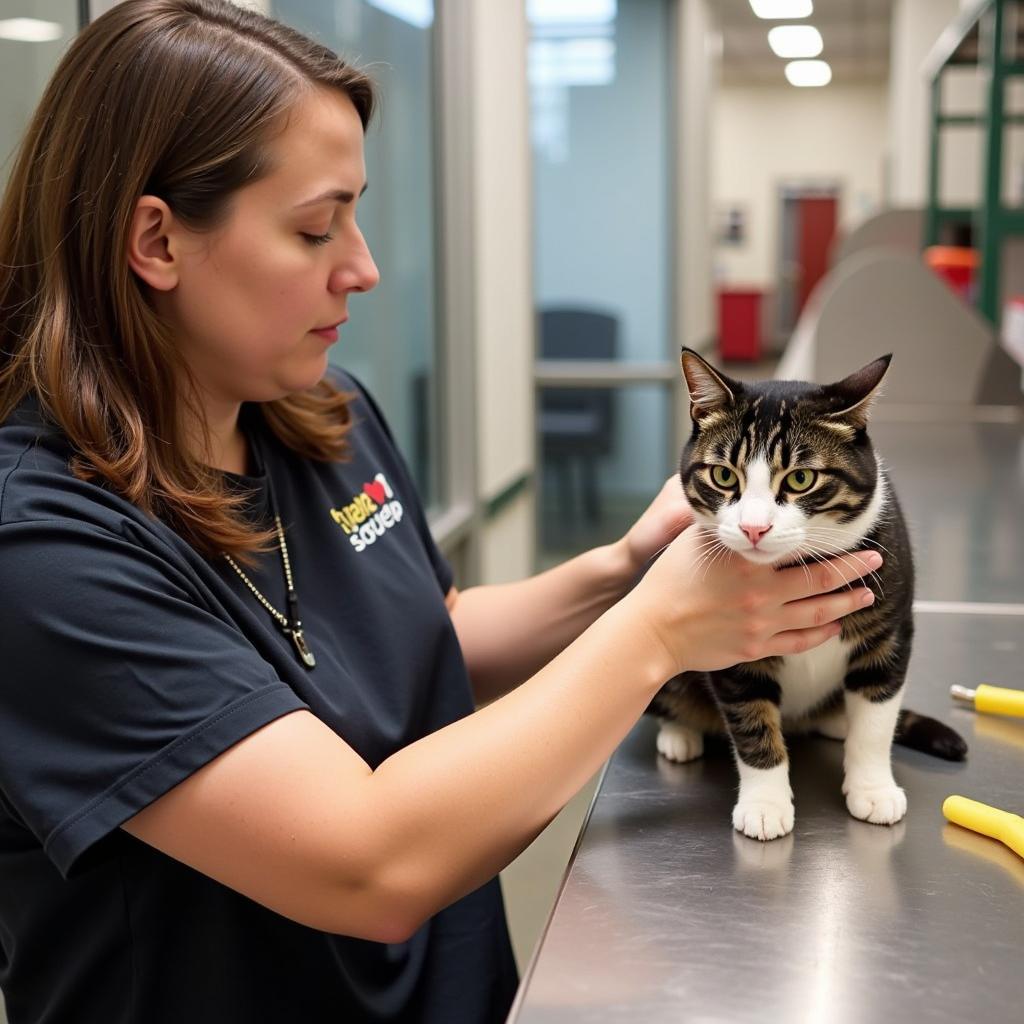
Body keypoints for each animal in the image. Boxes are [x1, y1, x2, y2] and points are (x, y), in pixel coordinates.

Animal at [651, 348, 962, 843]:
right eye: (722, 475)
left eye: (800, 479)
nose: (753, 528)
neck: (799, 568)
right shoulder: (732, 647)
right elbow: (752, 720)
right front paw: (765, 804)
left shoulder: (891, 629)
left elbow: (877, 717)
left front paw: (873, 788)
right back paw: (679, 733)